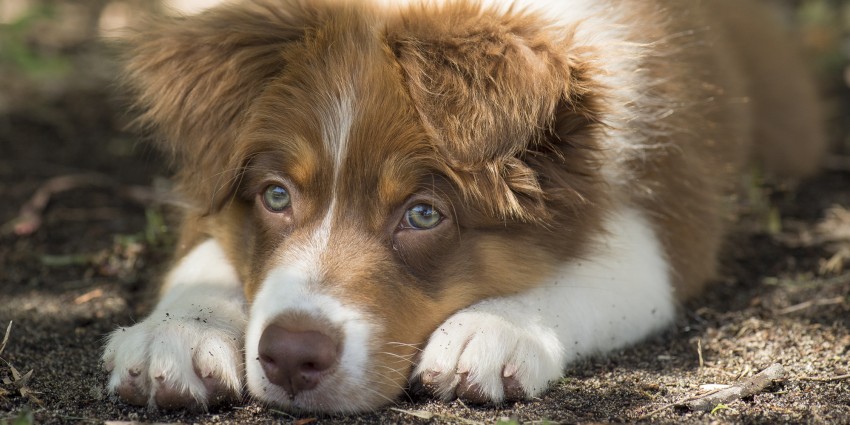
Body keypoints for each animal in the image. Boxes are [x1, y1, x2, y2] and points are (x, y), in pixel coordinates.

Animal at [99, 0, 820, 412]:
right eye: (276, 195)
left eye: (423, 214)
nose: (292, 356)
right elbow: (204, 253)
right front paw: (178, 330)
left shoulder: (670, 209)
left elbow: (595, 272)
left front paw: (495, 327)